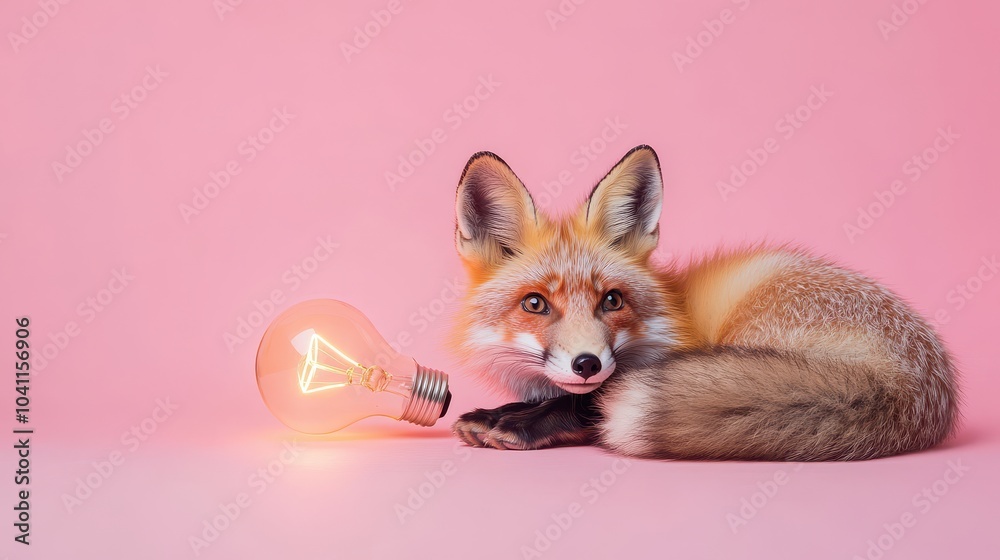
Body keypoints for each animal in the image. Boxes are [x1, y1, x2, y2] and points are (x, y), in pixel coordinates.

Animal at [448, 145, 959, 461]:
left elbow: (589, 400)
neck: (669, 312)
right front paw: (496, 413)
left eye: (612, 300)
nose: (587, 363)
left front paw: (519, 423)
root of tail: (922, 385)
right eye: (535, 305)